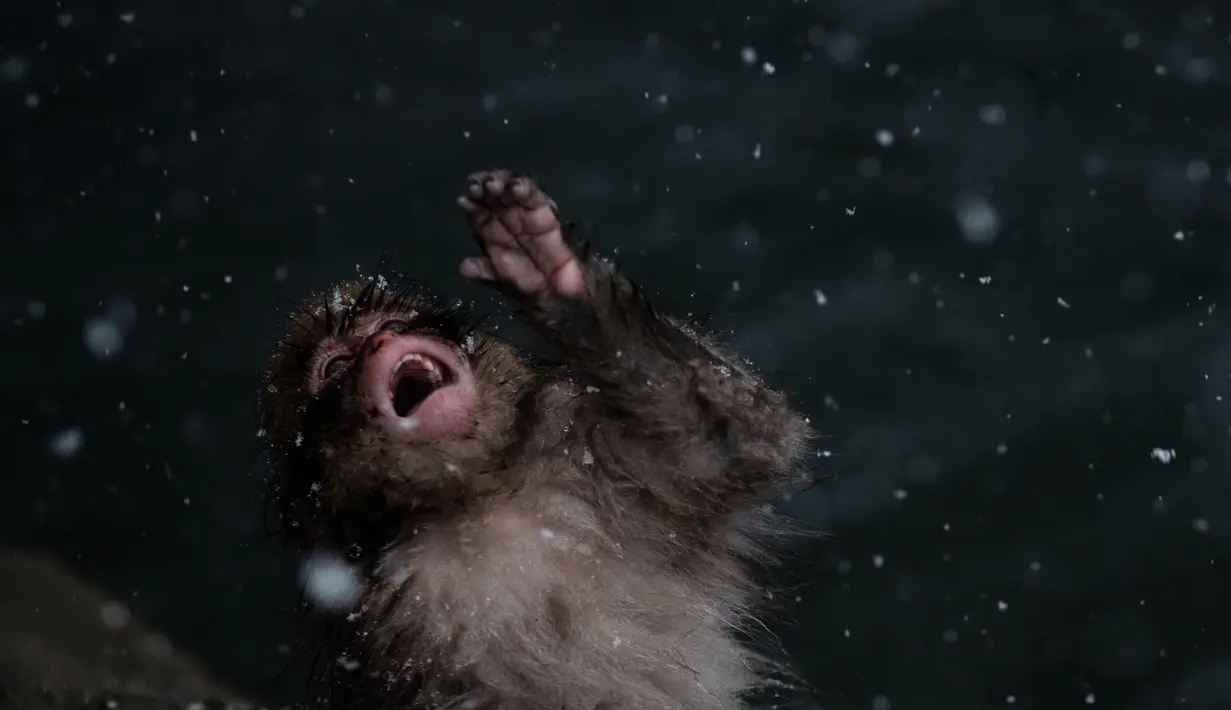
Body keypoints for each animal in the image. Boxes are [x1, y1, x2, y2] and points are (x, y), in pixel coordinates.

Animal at [258, 170, 815, 710]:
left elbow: (748, 440)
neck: (477, 504)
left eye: (391, 323)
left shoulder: (593, 458)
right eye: (336, 368)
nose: (380, 341)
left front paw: (556, 283)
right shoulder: (387, 636)